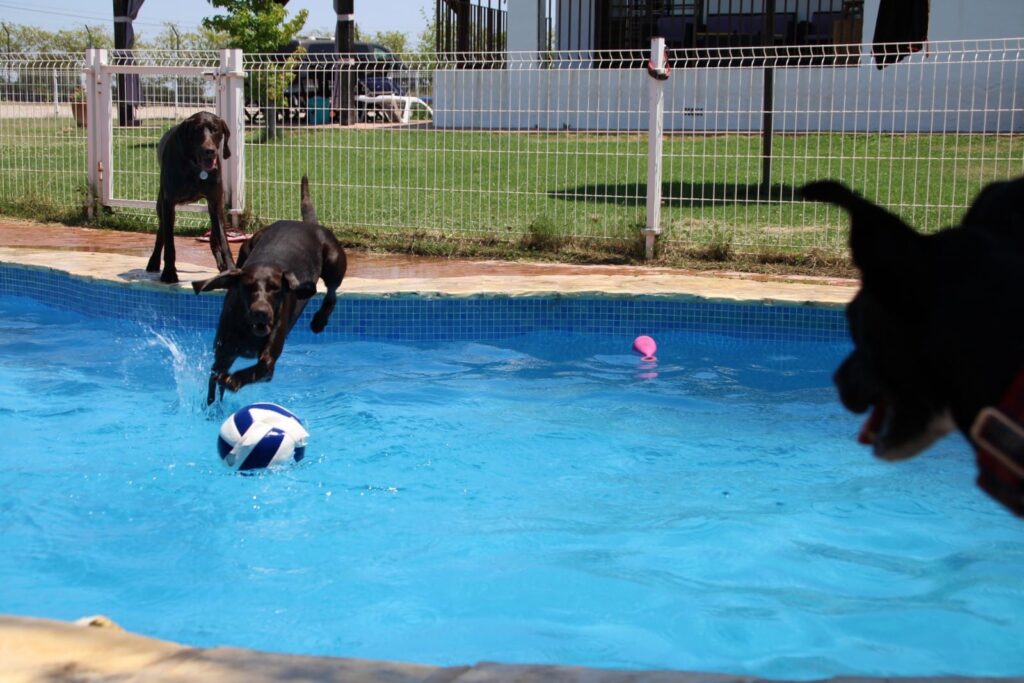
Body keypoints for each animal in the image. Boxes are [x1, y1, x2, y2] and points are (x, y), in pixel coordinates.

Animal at [148, 112, 235, 282]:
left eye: (215, 129)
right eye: (197, 131)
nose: (210, 151)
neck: (196, 168)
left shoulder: (216, 202)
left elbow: (223, 240)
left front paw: (231, 268)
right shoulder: (168, 203)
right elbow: (169, 243)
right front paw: (169, 273)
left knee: (214, 235)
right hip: (161, 204)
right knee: (161, 231)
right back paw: (154, 261)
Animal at [192, 176, 348, 405]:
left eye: (275, 288)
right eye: (248, 287)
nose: (261, 313)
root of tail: (307, 224)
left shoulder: (269, 360)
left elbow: (256, 369)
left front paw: (232, 380)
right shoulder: (223, 352)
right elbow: (214, 385)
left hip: (334, 260)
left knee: (332, 292)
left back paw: (319, 321)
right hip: (246, 246)